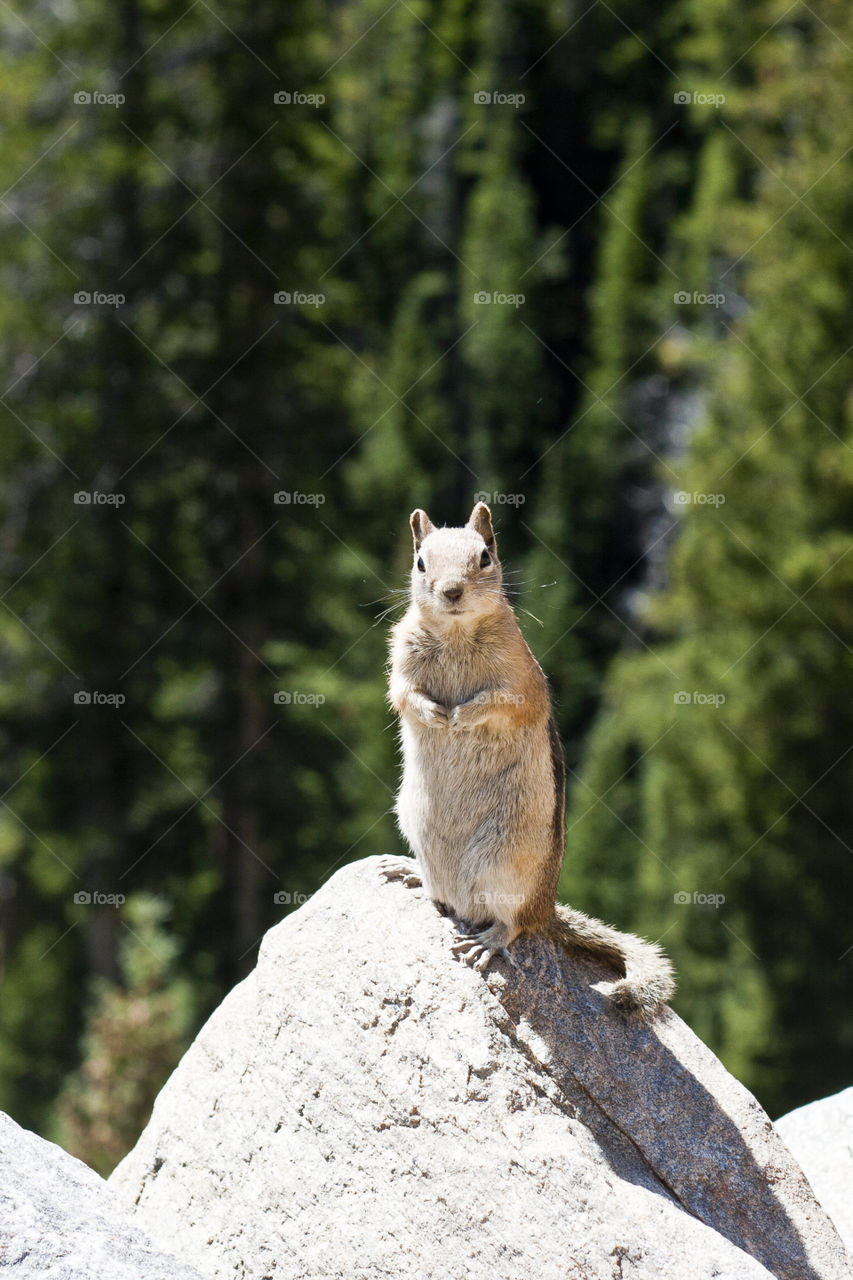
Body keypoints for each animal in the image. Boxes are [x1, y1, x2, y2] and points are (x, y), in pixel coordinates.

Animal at [381, 501, 674, 1017]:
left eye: (484, 556)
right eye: (420, 562)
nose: (451, 591)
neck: (456, 631)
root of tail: (546, 908)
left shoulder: (523, 680)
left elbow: (503, 702)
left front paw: (462, 715)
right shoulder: (400, 661)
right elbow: (403, 694)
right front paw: (434, 714)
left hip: (507, 865)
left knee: (513, 923)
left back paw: (488, 940)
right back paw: (412, 872)